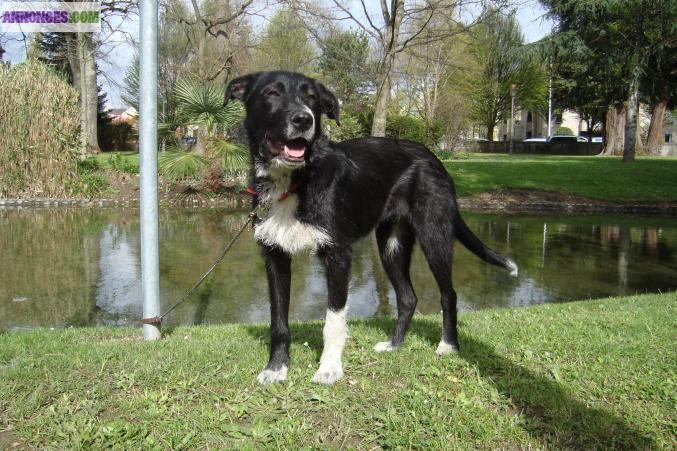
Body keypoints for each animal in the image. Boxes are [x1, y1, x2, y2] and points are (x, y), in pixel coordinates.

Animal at [224, 72, 516, 386]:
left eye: (312, 98)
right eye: (272, 93)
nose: (304, 119)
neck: (295, 180)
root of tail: (433, 157)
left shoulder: (338, 255)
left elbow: (333, 320)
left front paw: (329, 369)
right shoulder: (275, 256)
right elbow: (278, 320)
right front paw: (276, 369)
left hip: (434, 234)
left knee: (448, 294)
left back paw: (448, 345)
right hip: (391, 245)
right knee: (408, 298)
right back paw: (394, 344)